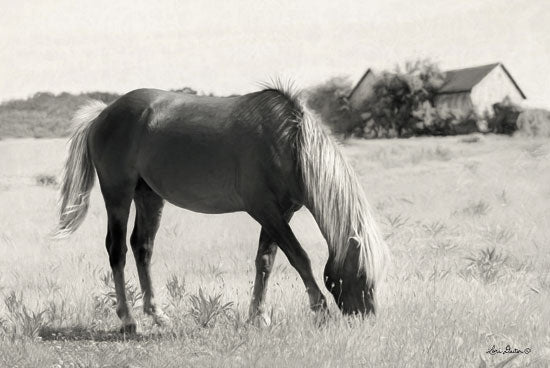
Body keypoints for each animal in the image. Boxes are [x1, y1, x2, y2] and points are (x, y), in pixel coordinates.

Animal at [54, 85, 390, 332]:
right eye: (361, 272)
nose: (366, 316)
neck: (289, 143)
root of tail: (102, 114)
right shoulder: (265, 210)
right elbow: (299, 258)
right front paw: (319, 309)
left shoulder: (280, 213)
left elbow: (265, 261)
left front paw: (258, 316)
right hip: (118, 194)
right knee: (117, 250)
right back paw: (128, 320)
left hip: (148, 196)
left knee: (142, 247)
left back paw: (157, 314)